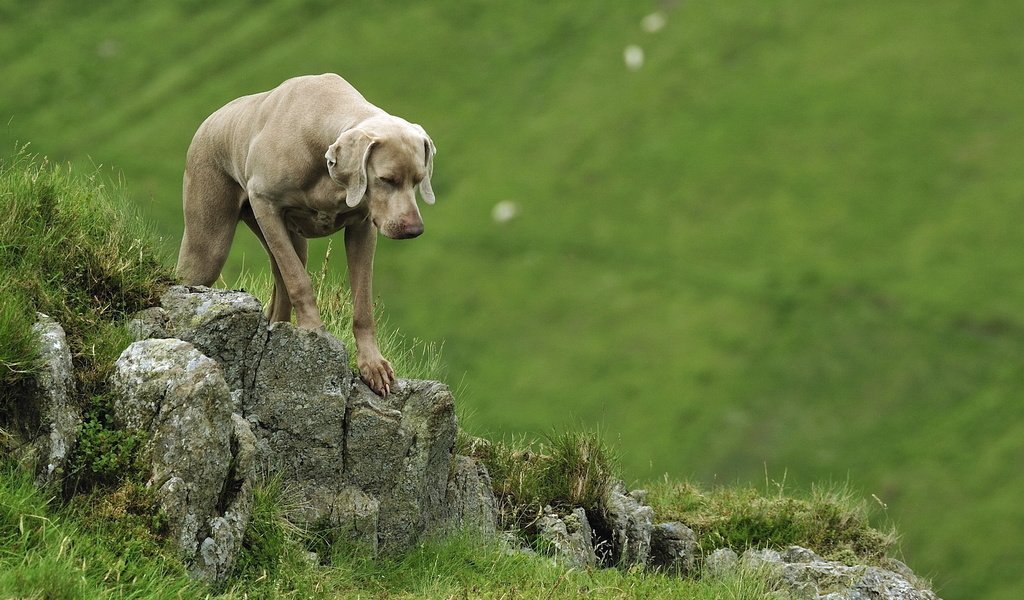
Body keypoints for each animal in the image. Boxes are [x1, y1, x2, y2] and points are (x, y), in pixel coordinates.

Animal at [176, 72, 432, 395]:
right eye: (386, 179)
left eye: (418, 180)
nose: (415, 230)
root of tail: (209, 121)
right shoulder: (265, 203)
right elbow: (299, 281)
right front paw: (313, 334)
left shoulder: (362, 227)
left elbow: (362, 302)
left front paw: (372, 364)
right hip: (211, 242)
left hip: (288, 239)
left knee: (280, 288)